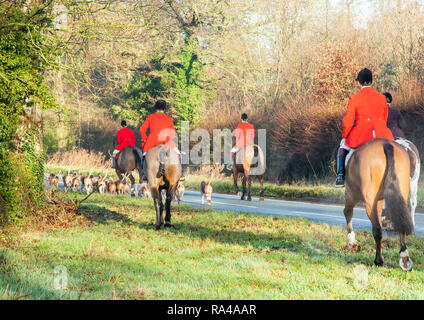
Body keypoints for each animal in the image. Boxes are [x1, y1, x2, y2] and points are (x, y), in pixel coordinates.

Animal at [344, 139, 414, 272]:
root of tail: (386, 144)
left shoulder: (351, 193)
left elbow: (347, 212)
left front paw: (352, 242)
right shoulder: (379, 200)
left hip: (368, 199)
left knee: (376, 229)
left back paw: (378, 261)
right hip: (402, 191)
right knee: (400, 220)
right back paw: (404, 257)